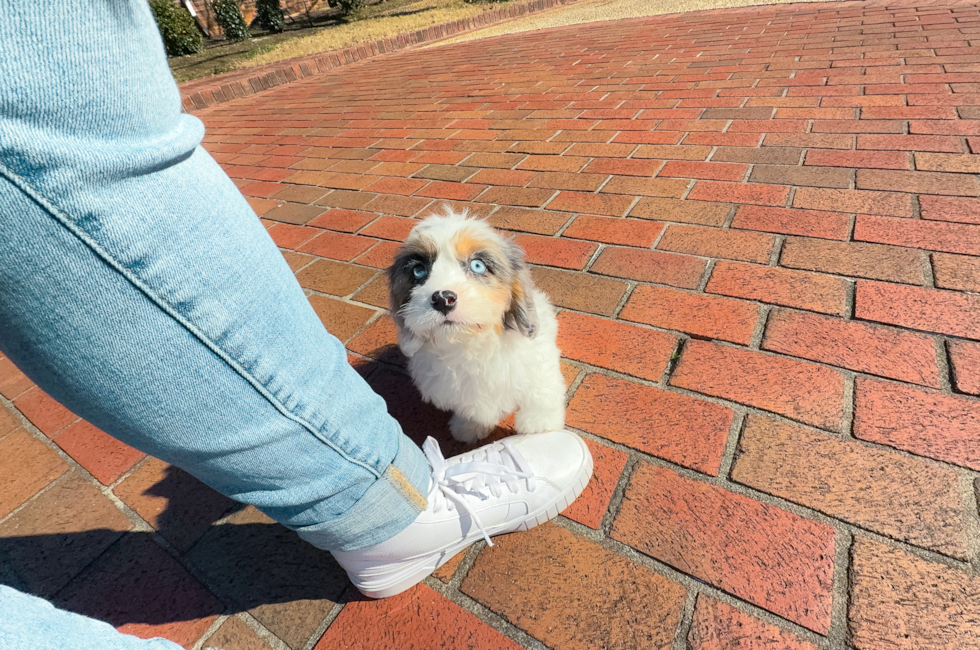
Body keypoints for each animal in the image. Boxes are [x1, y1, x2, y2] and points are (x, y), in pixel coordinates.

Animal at [384, 210, 564, 442]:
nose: (443, 299)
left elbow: (541, 400)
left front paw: (542, 431)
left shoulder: (538, 371)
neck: (471, 345)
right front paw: (469, 427)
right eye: (419, 271)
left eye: (477, 265)